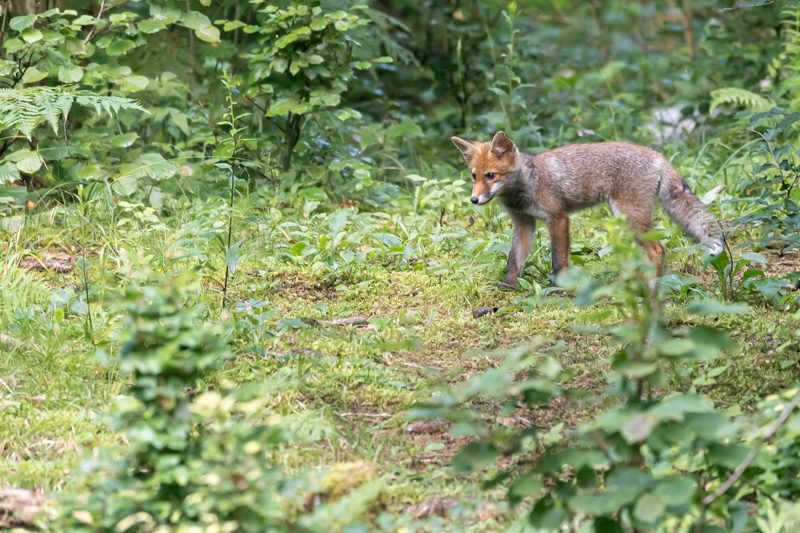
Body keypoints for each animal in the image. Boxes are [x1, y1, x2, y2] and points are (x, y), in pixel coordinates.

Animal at [450, 131, 724, 286]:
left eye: (491, 175)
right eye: (474, 176)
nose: (473, 200)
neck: (526, 186)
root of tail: (658, 155)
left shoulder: (558, 218)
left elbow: (558, 261)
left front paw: (561, 288)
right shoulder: (524, 223)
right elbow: (514, 261)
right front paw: (507, 287)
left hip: (629, 216)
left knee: (658, 250)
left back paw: (651, 285)